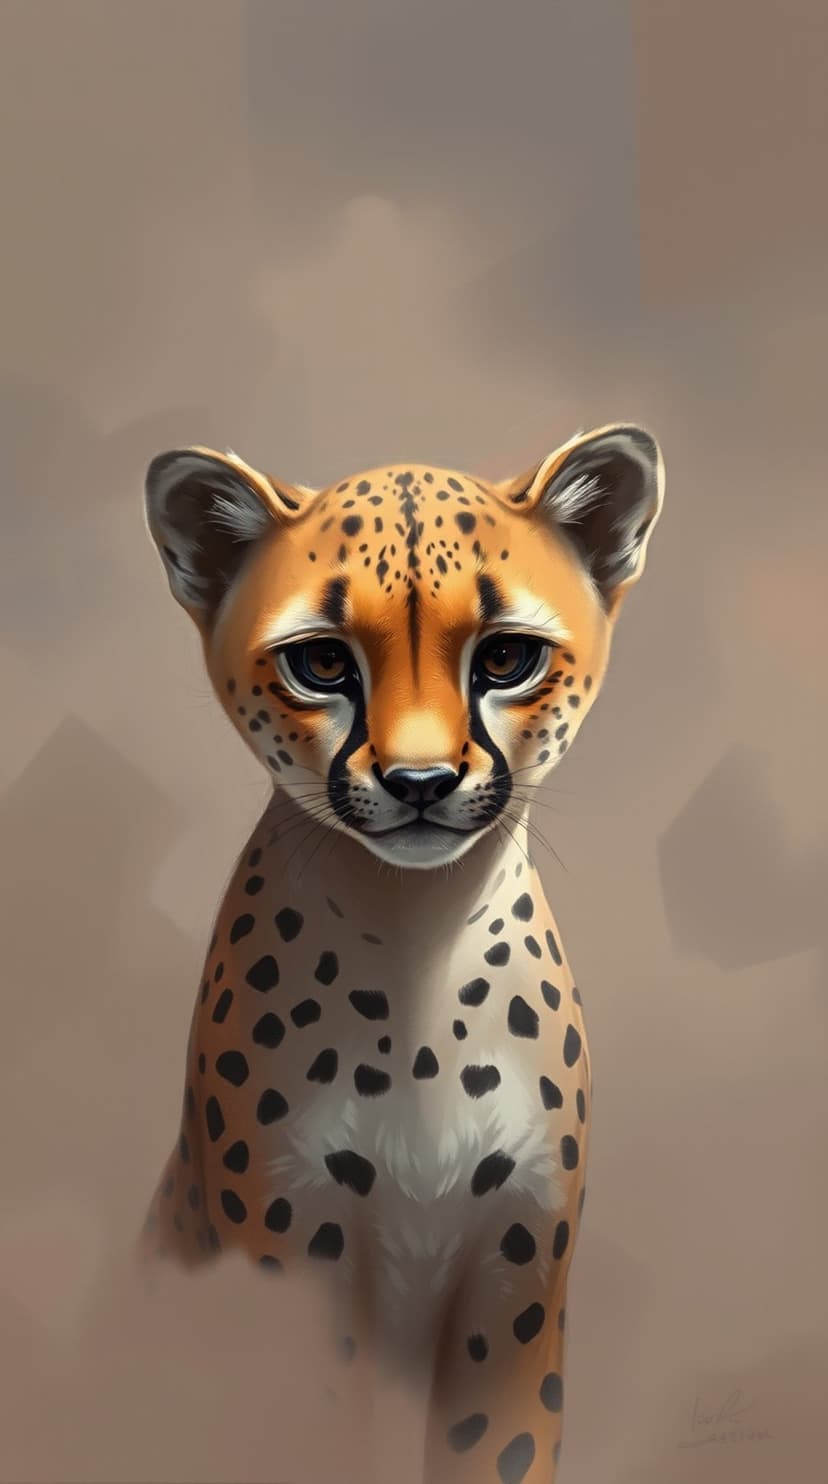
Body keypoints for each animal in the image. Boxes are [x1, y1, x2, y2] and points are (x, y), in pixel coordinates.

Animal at [138, 421, 665, 1484]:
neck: (420, 946)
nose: (419, 782)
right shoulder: (292, 1278)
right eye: (320, 664)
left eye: (506, 657)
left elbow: (495, 1452)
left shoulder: (516, 1294)